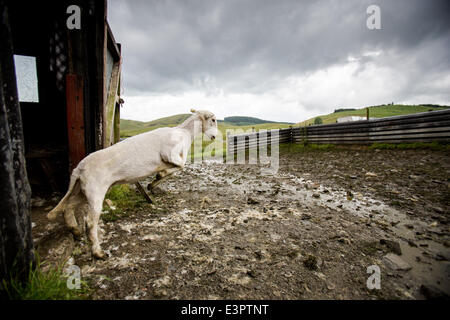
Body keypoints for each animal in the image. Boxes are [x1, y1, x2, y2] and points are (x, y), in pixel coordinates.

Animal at [48, 109, 217, 258]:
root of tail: (79, 168)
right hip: (95, 191)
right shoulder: (170, 154)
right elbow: (181, 166)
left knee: (68, 206)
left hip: (83, 190)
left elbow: (176, 169)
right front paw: (157, 178)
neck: (184, 133)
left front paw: (154, 182)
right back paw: (98, 253)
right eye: (214, 119)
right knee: (89, 222)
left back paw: (75, 231)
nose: (215, 136)